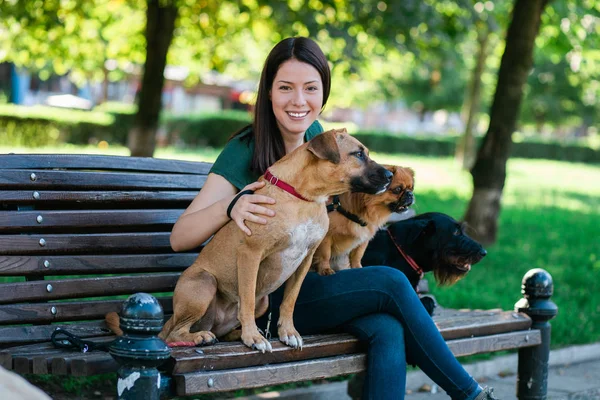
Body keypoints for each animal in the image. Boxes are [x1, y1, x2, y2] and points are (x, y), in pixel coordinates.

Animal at [105, 130, 392, 352]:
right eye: (358, 154)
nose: (390, 176)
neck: (304, 197)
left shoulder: (305, 259)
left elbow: (289, 301)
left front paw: (287, 332)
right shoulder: (251, 255)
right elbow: (247, 298)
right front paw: (252, 337)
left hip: (262, 303)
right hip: (204, 284)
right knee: (174, 333)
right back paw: (201, 337)